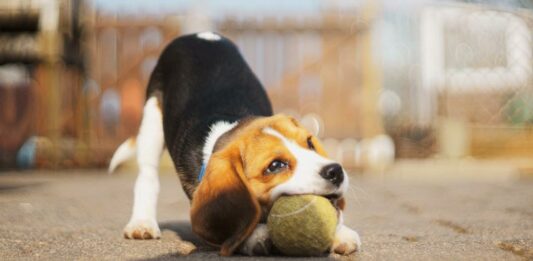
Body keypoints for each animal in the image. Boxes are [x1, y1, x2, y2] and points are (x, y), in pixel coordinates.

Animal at [108, 31, 360, 255]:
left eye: (310, 142)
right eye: (275, 166)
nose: (335, 171)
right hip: (152, 120)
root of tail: (197, 34)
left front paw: (341, 232)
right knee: (147, 176)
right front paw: (256, 236)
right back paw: (142, 222)